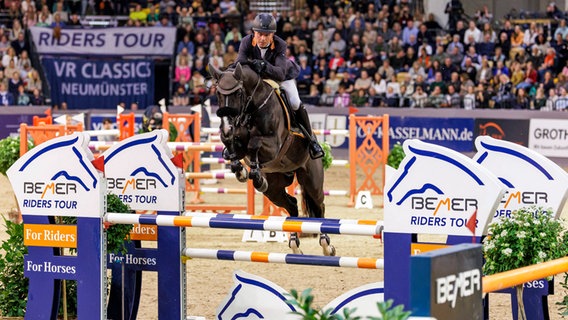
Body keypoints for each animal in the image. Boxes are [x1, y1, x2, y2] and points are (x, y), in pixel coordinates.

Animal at [207, 62, 332, 256]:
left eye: (238, 93)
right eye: (218, 94)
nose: (227, 128)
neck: (252, 108)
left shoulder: (273, 145)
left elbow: (254, 143)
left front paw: (254, 174)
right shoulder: (238, 143)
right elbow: (232, 147)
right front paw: (242, 171)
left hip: (312, 181)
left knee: (320, 207)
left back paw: (327, 246)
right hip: (274, 189)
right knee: (292, 205)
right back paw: (294, 244)